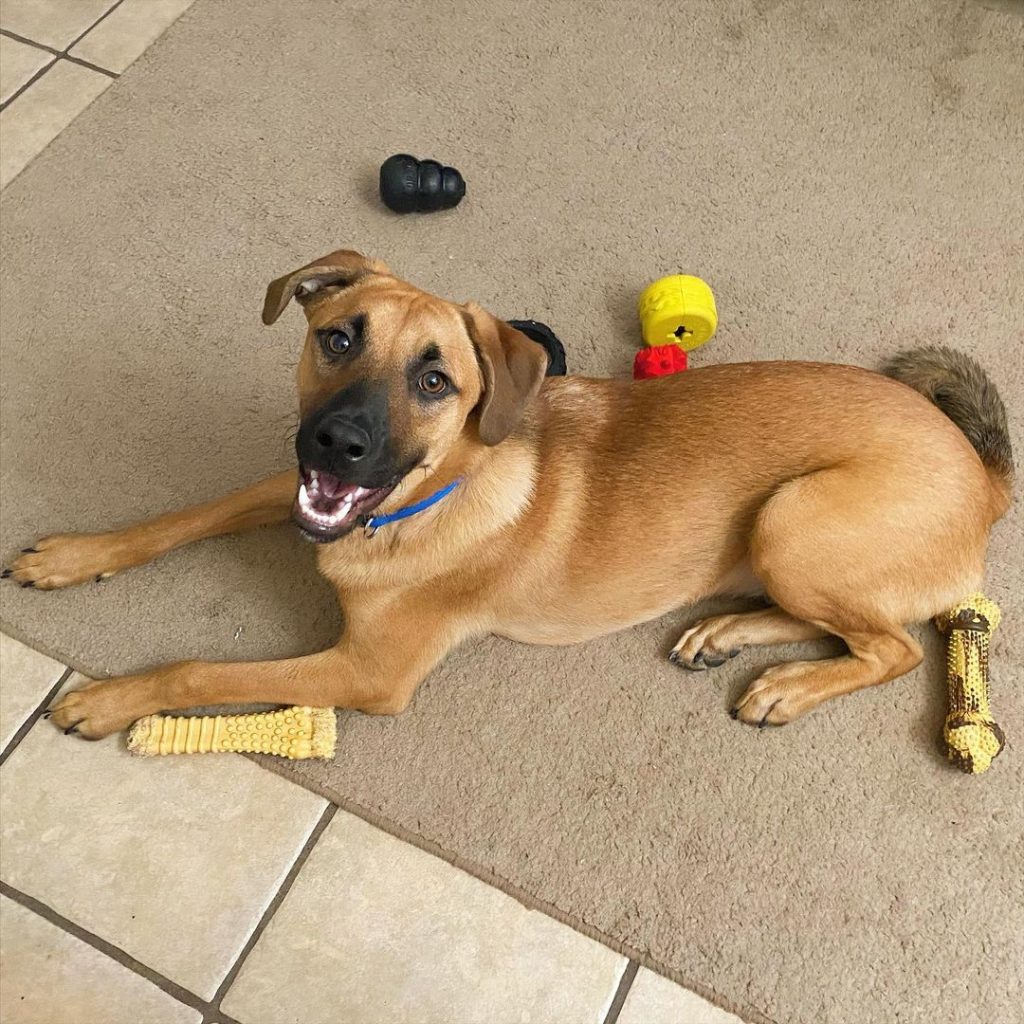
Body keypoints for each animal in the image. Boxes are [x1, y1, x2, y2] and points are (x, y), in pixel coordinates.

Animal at [6, 251, 1007, 741]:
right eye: (338, 338)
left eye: (435, 381)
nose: (339, 442)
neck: (418, 504)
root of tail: (984, 473)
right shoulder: (291, 490)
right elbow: (189, 513)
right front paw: (77, 557)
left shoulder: (366, 673)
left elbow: (199, 668)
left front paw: (108, 698)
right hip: (781, 536)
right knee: (847, 626)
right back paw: (727, 632)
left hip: (795, 517)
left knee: (891, 649)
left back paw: (790, 688)